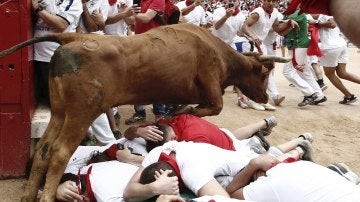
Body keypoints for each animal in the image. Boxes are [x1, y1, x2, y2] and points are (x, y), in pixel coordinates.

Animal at [0, 23, 288, 200]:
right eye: (264, 74)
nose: (264, 97)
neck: (218, 51)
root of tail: (74, 36)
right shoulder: (210, 85)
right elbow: (210, 108)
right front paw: (179, 115)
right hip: (81, 112)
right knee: (60, 152)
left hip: (61, 111)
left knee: (44, 148)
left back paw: (28, 194)